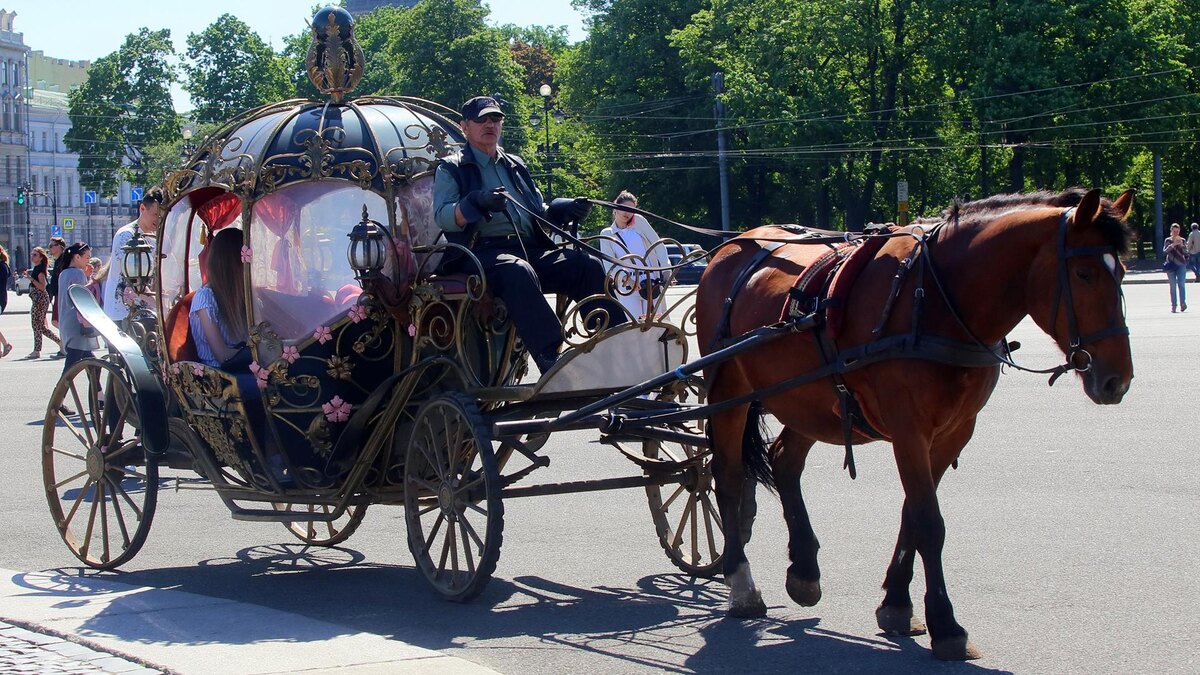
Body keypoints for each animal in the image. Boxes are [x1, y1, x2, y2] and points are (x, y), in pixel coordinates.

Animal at [696, 187, 1132, 658]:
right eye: (1084, 273)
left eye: (1121, 271)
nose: (1117, 380)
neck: (936, 299)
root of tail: (733, 245)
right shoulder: (909, 431)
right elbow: (929, 522)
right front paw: (946, 623)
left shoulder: (953, 433)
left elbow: (912, 514)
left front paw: (896, 603)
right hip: (728, 391)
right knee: (726, 474)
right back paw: (740, 580)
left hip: (808, 397)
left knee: (783, 461)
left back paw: (805, 569)